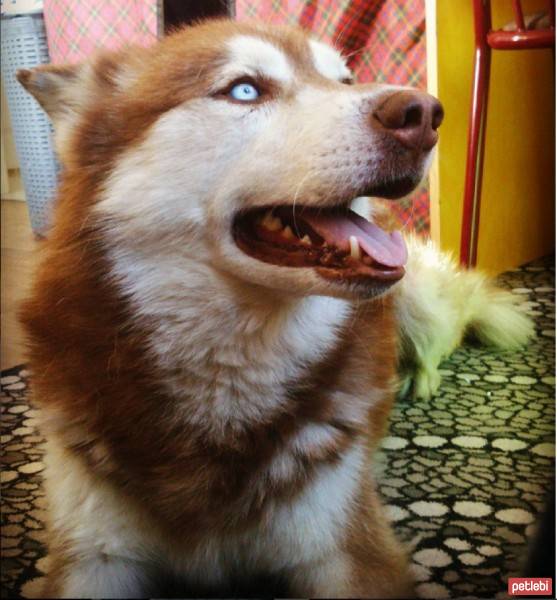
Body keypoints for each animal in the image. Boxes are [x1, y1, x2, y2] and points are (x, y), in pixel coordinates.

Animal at [17, 17, 528, 596]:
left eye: (346, 80)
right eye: (244, 90)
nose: (422, 113)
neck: (227, 375)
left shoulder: (346, 546)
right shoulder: (92, 551)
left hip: (416, 299)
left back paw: (419, 375)